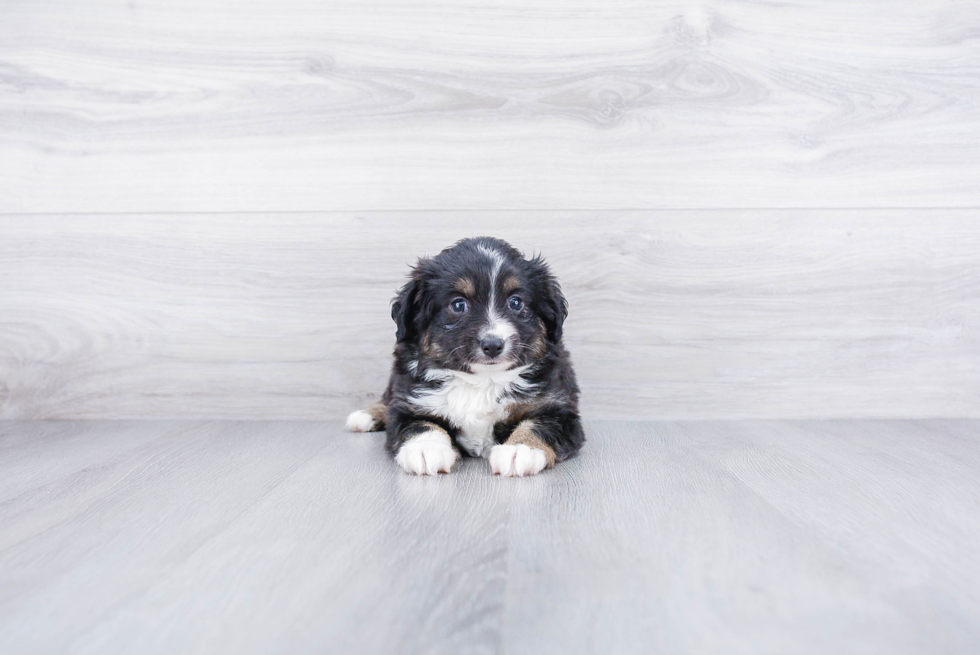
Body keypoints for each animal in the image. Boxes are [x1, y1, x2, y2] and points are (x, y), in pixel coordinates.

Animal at [348, 236, 584, 476]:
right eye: (458, 304)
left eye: (516, 302)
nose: (493, 345)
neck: (482, 381)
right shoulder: (409, 403)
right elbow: (420, 424)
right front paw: (426, 449)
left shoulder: (559, 408)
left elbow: (539, 425)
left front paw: (519, 449)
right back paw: (366, 415)